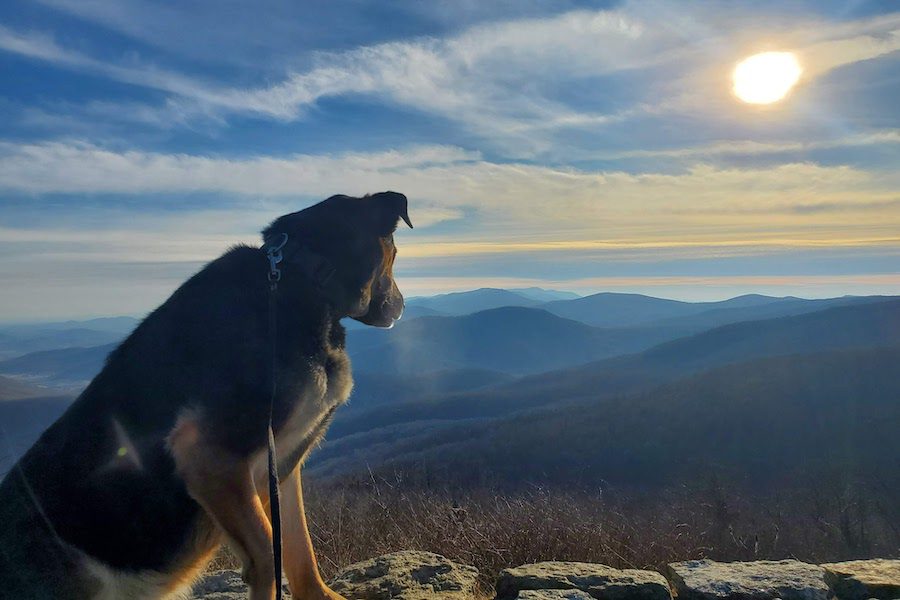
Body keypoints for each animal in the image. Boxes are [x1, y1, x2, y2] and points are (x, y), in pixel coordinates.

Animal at [0, 192, 414, 600]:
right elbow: (268, 551)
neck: (303, 277)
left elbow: (299, 545)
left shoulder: (282, 465)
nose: (403, 305)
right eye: (396, 254)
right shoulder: (209, 454)